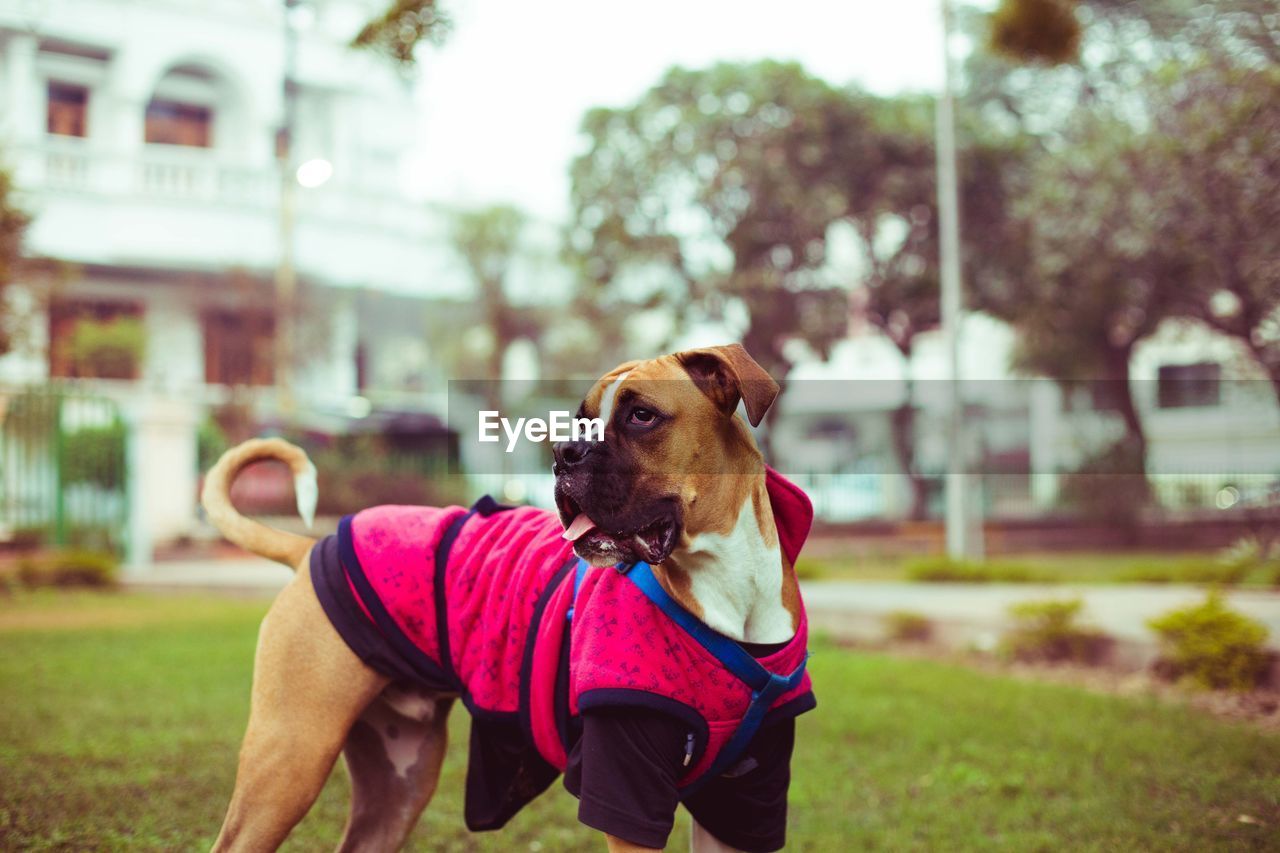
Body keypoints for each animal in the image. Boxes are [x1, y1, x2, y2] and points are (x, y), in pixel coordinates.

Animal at [199, 343, 819, 845]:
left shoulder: (743, 807)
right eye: (580, 421)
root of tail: (313, 547)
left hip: (397, 786)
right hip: (290, 758)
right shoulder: (626, 792)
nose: (564, 452)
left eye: (642, 415)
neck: (728, 587)